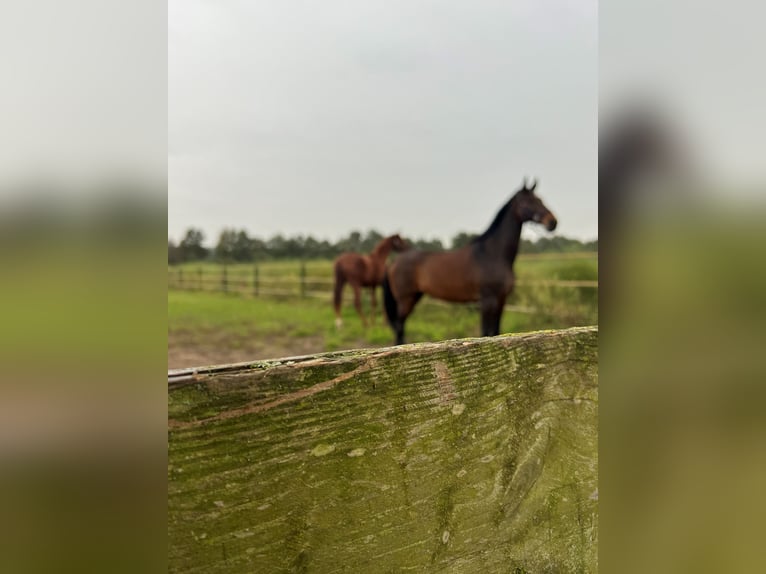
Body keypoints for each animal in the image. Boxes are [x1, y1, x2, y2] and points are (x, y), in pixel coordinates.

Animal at [382, 179, 557, 345]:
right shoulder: (487, 301)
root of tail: (395, 260)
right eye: (528, 202)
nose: (553, 222)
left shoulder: (501, 300)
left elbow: (496, 331)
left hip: (415, 296)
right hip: (405, 299)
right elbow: (486, 333)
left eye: (540, 199)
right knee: (399, 327)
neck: (492, 254)